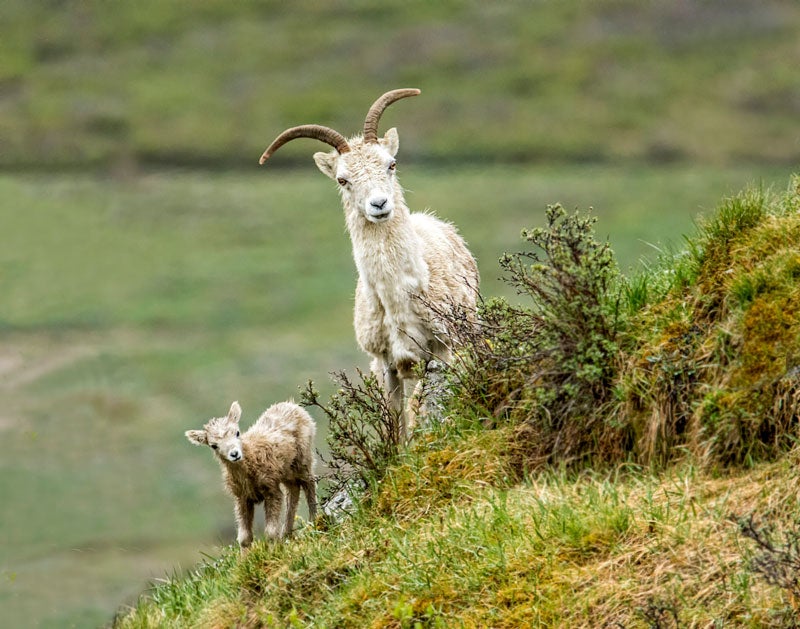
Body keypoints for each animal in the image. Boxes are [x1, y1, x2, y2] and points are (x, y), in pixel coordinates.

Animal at [185, 400, 317, 547]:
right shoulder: (241, 497)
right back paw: (286, 534)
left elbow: (270, 533)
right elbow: (244, 538)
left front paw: (275, 551)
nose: (234, 454)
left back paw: (313, 522)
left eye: (237, 433)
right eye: (213, 445)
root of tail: (291, 404)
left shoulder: (271, 489)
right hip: (287, 470)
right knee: (293, 489)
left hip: (303, 458)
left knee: (309, 482)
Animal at [259, 89, 479, 439]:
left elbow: (427, 410)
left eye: (391, 164)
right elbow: (396, 425)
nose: (379, 204)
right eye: (342, 179)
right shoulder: (387, 363)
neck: (401, 296)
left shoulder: (442, 350)